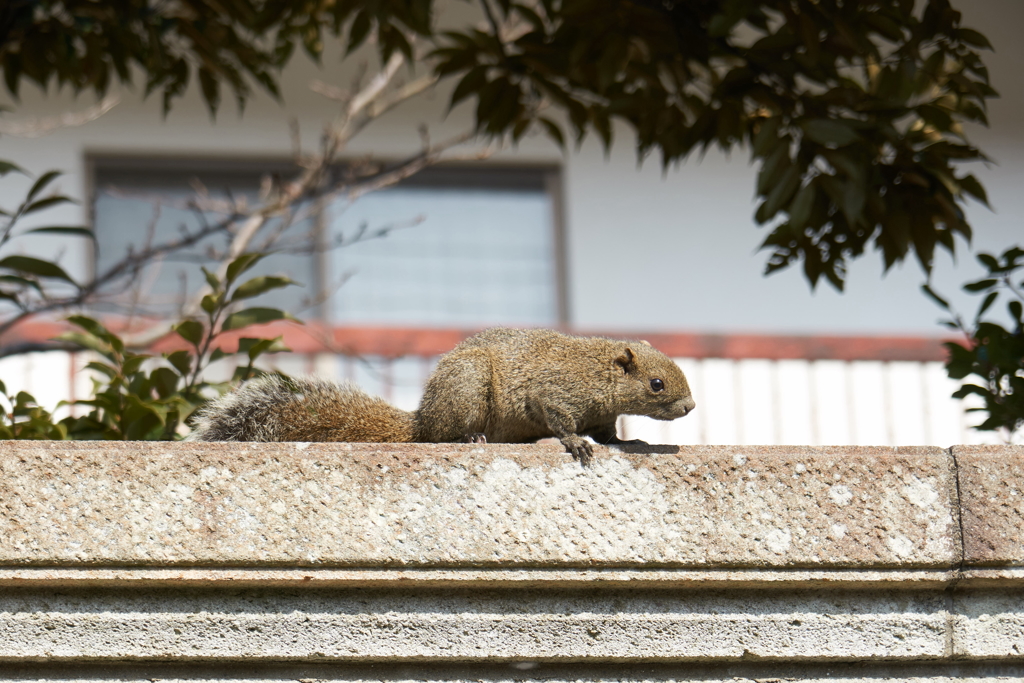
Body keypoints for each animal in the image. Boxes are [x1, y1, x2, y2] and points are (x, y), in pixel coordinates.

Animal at [186, 327, 696, 466]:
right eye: (656, 384)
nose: (691, 407)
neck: (597, 370)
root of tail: (423, 420)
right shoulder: (553, 391)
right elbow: (559, 418)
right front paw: (573, 443)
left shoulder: (602, 413)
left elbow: (608, 432)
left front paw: (627, 440)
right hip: (468, 389)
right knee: (446, 434)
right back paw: (469, 439)